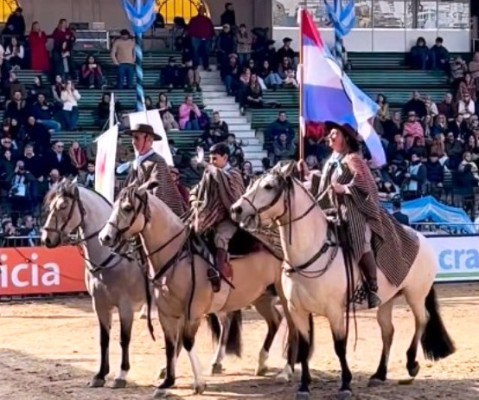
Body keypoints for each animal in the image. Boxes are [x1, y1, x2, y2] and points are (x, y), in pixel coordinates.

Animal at [99, 184, 298, 396]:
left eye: (127, 208)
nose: (105, 237)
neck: (178, 256)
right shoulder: (166, 312)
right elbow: (171, 344)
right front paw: (167, 381)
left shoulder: (193, 311)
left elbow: (186, 342)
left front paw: (199, 382)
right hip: (260, 296)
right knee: (274, 321)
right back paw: (261, 363)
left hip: (284, 297)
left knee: (292, 327)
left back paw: (286, 371)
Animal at [231, 162, 456, 400]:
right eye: (251, 183)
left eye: (268, 186)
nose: (236, 209)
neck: (311, 252)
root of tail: (423, 240)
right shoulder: (297, 310)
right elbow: (304, 347)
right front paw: (304, 386)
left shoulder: (335, 311)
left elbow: (339, 346)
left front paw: (346, 384)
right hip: (387, 301)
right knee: (388, 331)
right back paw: (379, 374)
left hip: (416, 294)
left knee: (422, 320)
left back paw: (411, 363)